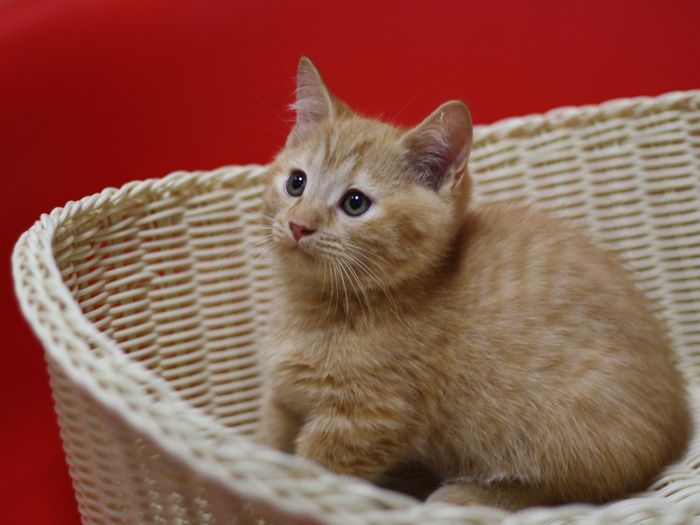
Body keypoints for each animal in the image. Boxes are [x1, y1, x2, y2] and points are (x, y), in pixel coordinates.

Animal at [253, 56, 688, 508]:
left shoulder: (367, 419)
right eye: (297, 182)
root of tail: (678, 425)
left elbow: (315, 475)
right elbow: (265, 445)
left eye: (355, 203)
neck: (315, 305)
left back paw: (471, 495)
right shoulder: (283, 398)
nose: (299, 225)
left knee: (572, 487)